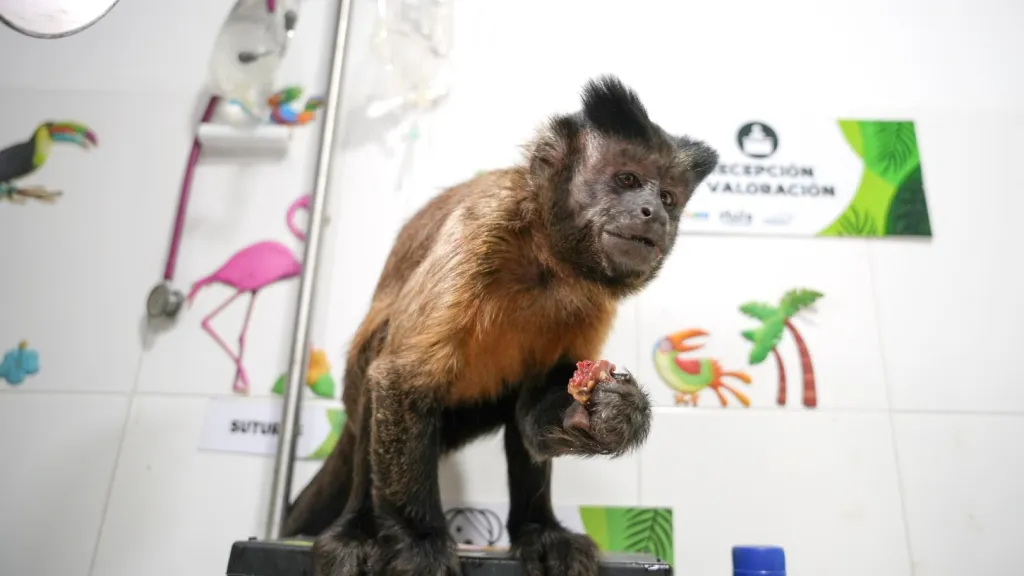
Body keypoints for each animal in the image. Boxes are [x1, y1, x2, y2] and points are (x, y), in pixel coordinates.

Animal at [281, 75, 719, 576]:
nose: (654, 212)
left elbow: (538, 408)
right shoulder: (483, 226)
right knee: (380, 371)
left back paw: (539, 530)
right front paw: (419, 539)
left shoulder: (592, 297)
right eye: (627, 179)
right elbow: (401, 380)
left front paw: (613, 412)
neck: (546, 260)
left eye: (667, 196)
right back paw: (357, 529)